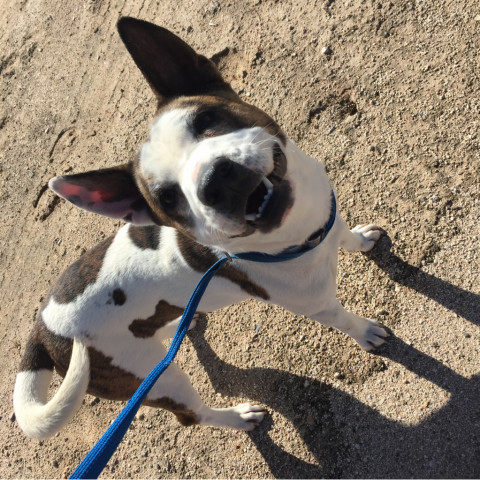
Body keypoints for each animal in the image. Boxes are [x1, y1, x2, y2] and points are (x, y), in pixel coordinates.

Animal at [13, 17, 388, 438]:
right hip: (152, 378)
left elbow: (346, 234)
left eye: (205, 119)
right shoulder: (319, 306)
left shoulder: (328, 215)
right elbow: (345, 320)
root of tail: (42, 331)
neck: (298, 234)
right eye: (168, 198)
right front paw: (367, 333)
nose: (214, 180)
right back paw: (238, 417)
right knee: (191, 414)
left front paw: (362, 239)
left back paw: (186, 321)